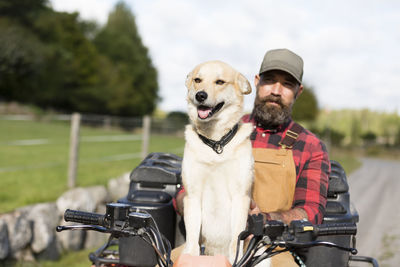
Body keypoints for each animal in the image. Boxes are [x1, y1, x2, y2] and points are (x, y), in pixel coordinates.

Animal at [180, 60, 253, 264]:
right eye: (197, 80)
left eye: (220, 82)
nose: (200, 95)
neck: (215, 143)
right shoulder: (192, 196)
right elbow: (192, 241)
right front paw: (191, 258)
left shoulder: (240, 196)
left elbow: (236, 242)